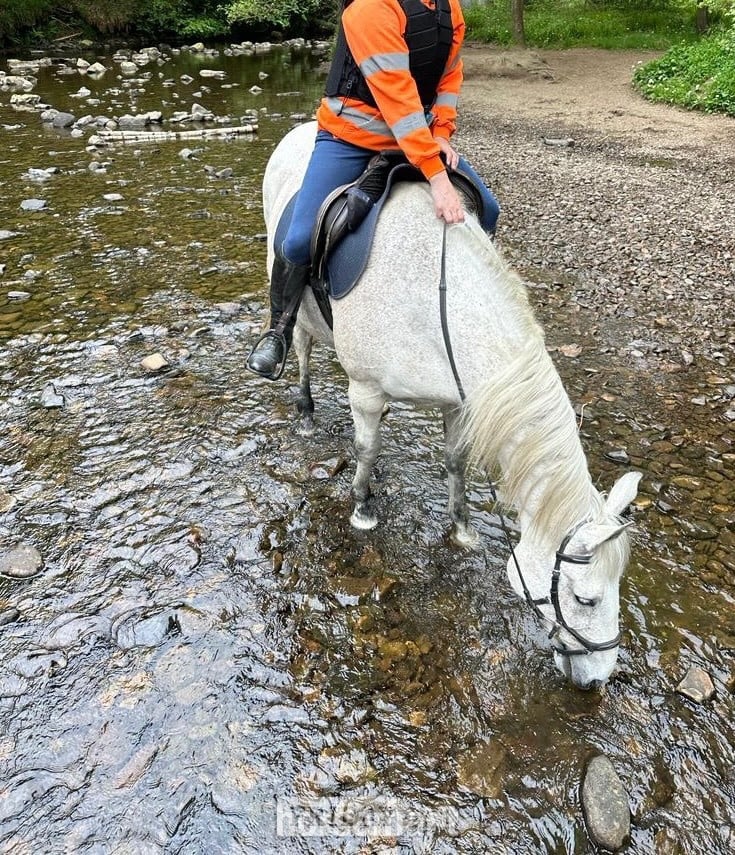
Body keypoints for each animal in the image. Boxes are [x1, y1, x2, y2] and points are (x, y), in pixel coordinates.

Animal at [261, 121, 641, 690]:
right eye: (586, 597)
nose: (597, 678)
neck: (432, 297)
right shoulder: (366, 389)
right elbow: (366, 451)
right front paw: (363, 509)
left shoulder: (458, 403)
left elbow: (457, 464)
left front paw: (461, 530)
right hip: (298, 298)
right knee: (301, 344)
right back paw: (304, 411)